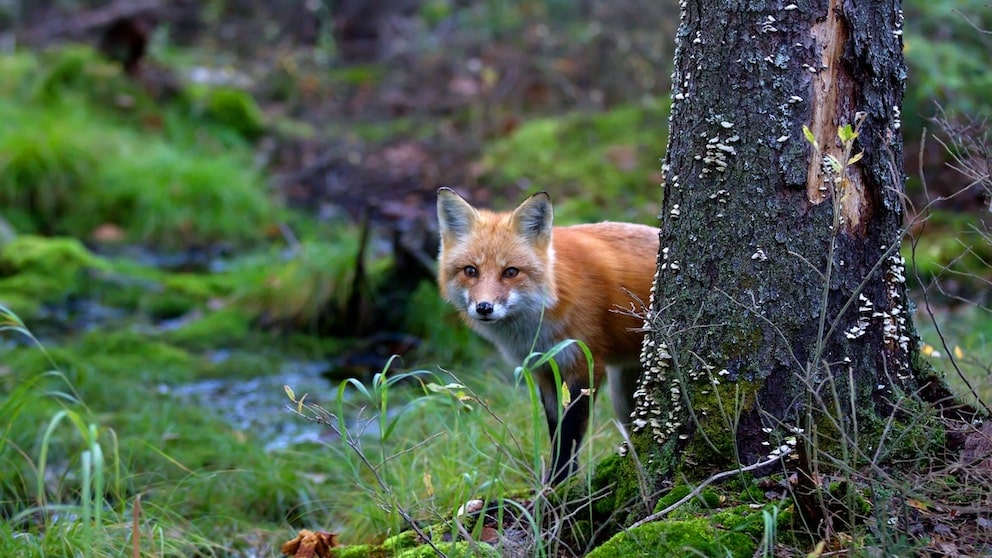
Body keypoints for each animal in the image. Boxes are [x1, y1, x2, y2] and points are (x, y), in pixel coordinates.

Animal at [440, 189, 660, 486]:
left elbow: (571, 431)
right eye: (470, 271)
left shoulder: (584, 363)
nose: (484, 308)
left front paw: (560, 482)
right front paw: (556, 481)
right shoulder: (544, 367)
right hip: (623, 394)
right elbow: (556, 428)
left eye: (510, 272)